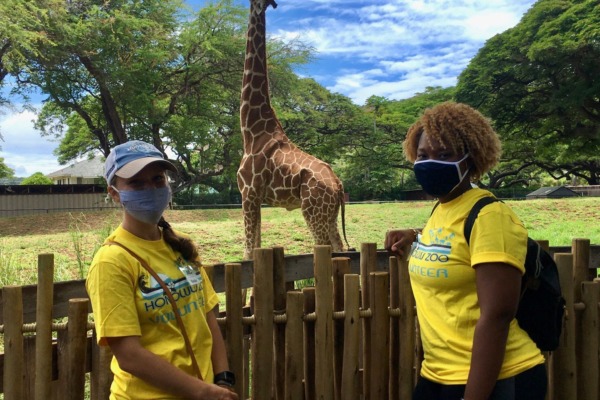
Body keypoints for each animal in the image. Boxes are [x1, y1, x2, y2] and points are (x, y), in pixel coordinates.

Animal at [239, 0, 350, 260]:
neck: (250, 131)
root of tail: (338, 184)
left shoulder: (248, 193)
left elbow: (247, 252)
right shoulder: (256, 198)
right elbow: (257, 246)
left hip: (312, 211)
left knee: (323, 247)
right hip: (329, 214)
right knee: (340, 247)